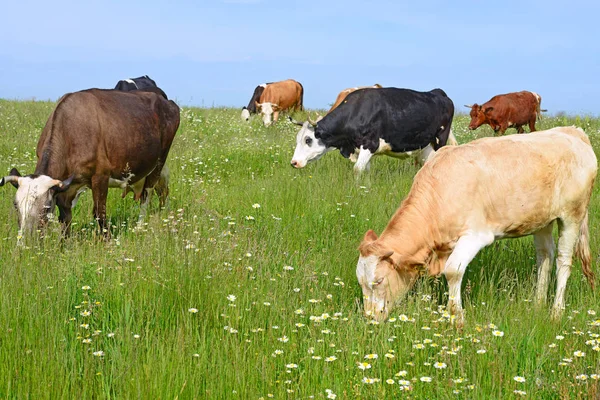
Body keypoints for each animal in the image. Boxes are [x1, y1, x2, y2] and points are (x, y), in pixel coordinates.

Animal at [290, 87, 454, 172]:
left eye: (308, 140)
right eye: (297, 139)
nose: (294, 162)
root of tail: (438, 92)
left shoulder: (370, 144)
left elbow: (357, 169)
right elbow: (365, 170)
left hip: (440, 140)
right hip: (425, 146)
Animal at [356, 126, 596, 324]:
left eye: (378, 281)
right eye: (361, 282)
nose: (370, 318)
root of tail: (573, 131)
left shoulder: (476, 235)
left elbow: (453, 271)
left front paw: (457, 319)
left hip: (573, 215)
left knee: (563, 260)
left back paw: (556, 312)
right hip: (541, 220)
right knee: (545, 256)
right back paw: (537, 304)